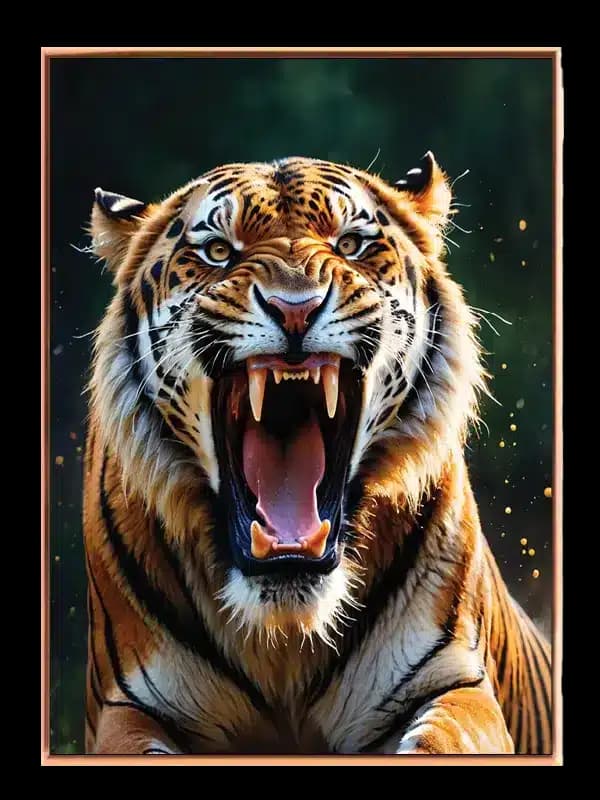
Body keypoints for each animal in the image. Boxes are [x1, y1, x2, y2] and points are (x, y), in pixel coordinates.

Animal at [82, 153, 552, 756]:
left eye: (350, 244)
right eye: (218, 251)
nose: (295, 309)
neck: (283, 635)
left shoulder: (452, 685)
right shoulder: (131, 708)